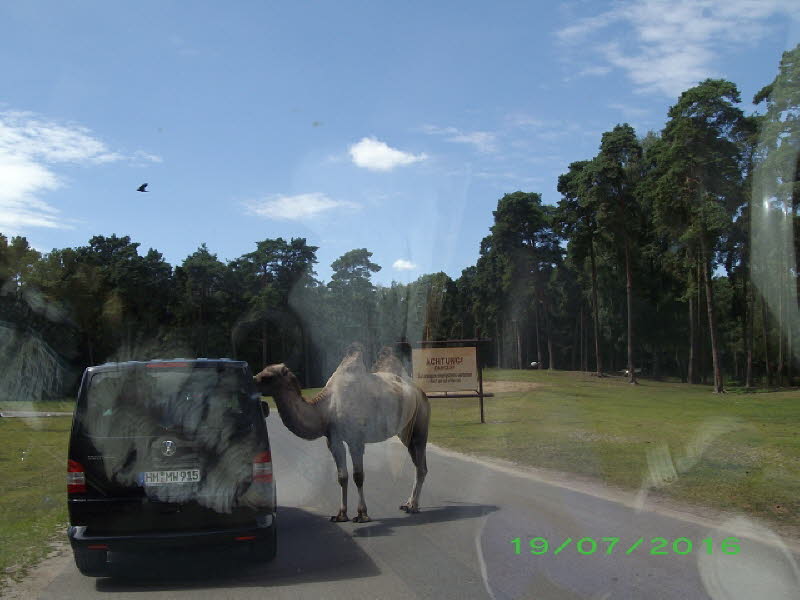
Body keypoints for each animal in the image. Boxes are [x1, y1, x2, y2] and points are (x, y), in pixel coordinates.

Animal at [255, 344, 432, 524]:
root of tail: (420, 392)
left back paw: (413, 506)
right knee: (418, 465)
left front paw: (362, 514)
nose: (252, 380)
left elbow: (358, 476)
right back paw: (408, 503)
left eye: (267, 377)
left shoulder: (356, 440)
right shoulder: (333, 440)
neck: (326, 410)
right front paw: (341, 514)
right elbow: (342, 476)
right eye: (261, 372)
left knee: (421, 466)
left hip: (420, 423)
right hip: (406, 431)